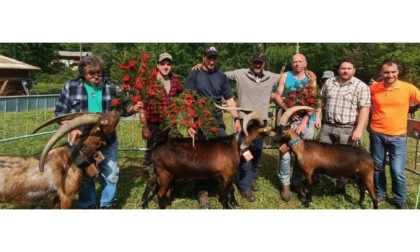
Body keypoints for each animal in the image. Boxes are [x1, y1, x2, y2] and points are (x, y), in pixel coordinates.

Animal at [141, 110, 272, 209]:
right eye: (262, 128)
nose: (270, 114)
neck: (236, 145)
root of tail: (156, 146)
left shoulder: (224, 175)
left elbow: (231, 189)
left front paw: (235, 203)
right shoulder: (227, 174)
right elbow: (227, 192)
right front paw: (228, 206)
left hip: (157, 172)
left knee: (148, 185)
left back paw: (145, 205)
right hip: (165, 174)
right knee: (160, 194)